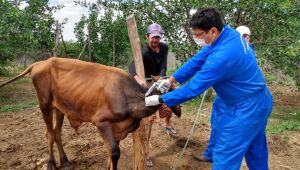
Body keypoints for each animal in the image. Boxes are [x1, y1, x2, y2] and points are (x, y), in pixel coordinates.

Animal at [0, 57, 180, 170]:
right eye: (171, 88)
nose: (178, 111)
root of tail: (42, 62)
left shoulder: (118, 128)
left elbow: (112, 151)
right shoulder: (101, 122)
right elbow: (114, 151)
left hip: (60, 108)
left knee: (57, 132)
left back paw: (65, 161)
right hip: (44, 104)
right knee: (49, 134)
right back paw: (51, 163)